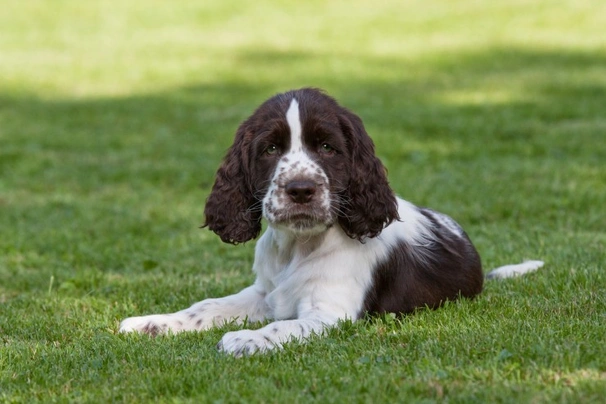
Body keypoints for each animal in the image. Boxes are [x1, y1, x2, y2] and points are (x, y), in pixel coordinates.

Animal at [120, 87, 548, 356]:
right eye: (270, 149)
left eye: (327, 147)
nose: (300, 189)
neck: (299, 246)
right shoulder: (266, 292)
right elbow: (206, 305)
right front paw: (151, 323)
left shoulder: (329, 314)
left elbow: (283, 327)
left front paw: (243, 340)